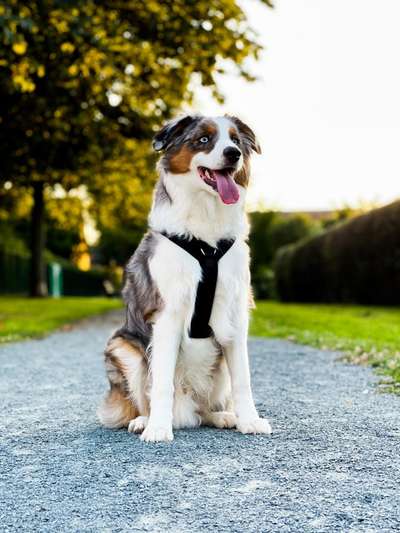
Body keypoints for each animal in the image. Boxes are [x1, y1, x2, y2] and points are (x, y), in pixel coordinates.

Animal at [97, 114, 272, 442]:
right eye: (203, 140)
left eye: (235, 140)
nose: (233, 154)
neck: (206, 236)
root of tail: (186, 411)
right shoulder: (168, 314)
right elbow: (161, 382)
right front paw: (157, 429)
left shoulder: (235, 314)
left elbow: (243, 379)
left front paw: (249, 420)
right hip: (123, 347)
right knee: (146, 394)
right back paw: (145, 420)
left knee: (206, 410)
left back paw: (222, 416)